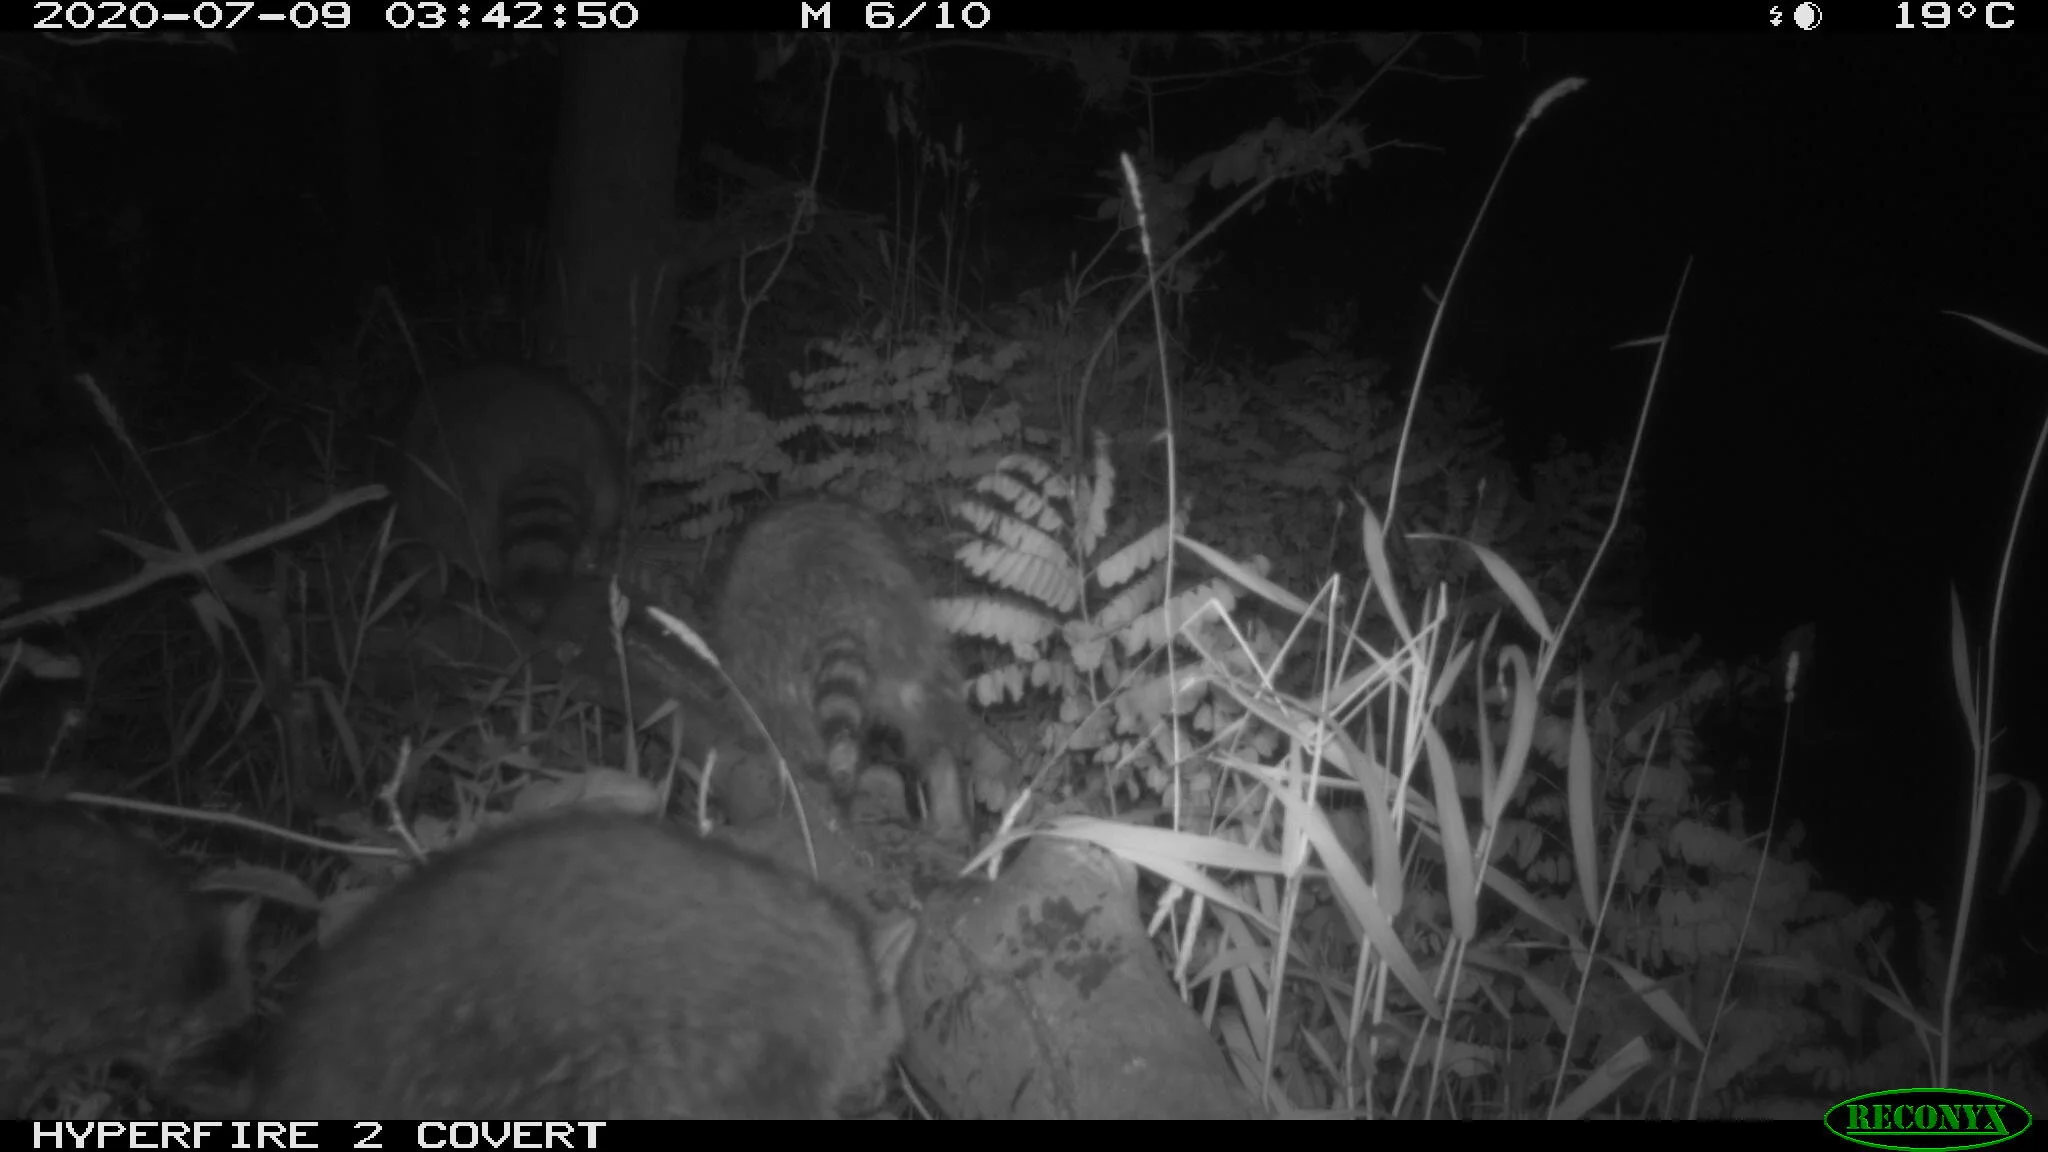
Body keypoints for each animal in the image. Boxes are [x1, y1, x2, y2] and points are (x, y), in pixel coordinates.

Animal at [714, 499, 971, 840]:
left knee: (780, 713)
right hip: (914, 645)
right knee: (933, 723)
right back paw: (949, 800)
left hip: (767, 646)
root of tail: (839, 595)